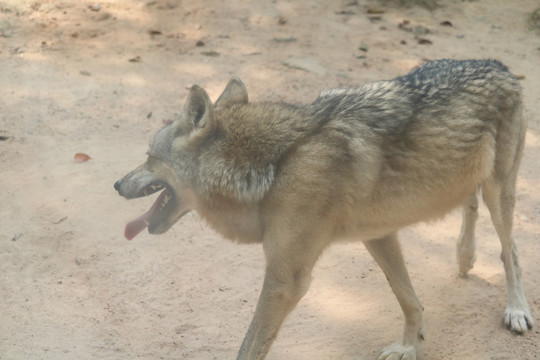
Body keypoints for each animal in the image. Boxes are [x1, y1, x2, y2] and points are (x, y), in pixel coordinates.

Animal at [114, 59, 532, 360]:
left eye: (149, 157)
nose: (117, 184)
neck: (273, 166)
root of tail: (500, 66)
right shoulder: (379, 235)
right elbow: (409, 298)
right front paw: (410, 346)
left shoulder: (286, 280)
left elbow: (249, 346)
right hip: (464, 183)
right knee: (470, 205)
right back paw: (464, 257)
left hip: (500, 193)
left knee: (510, 249)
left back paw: (516, 308)